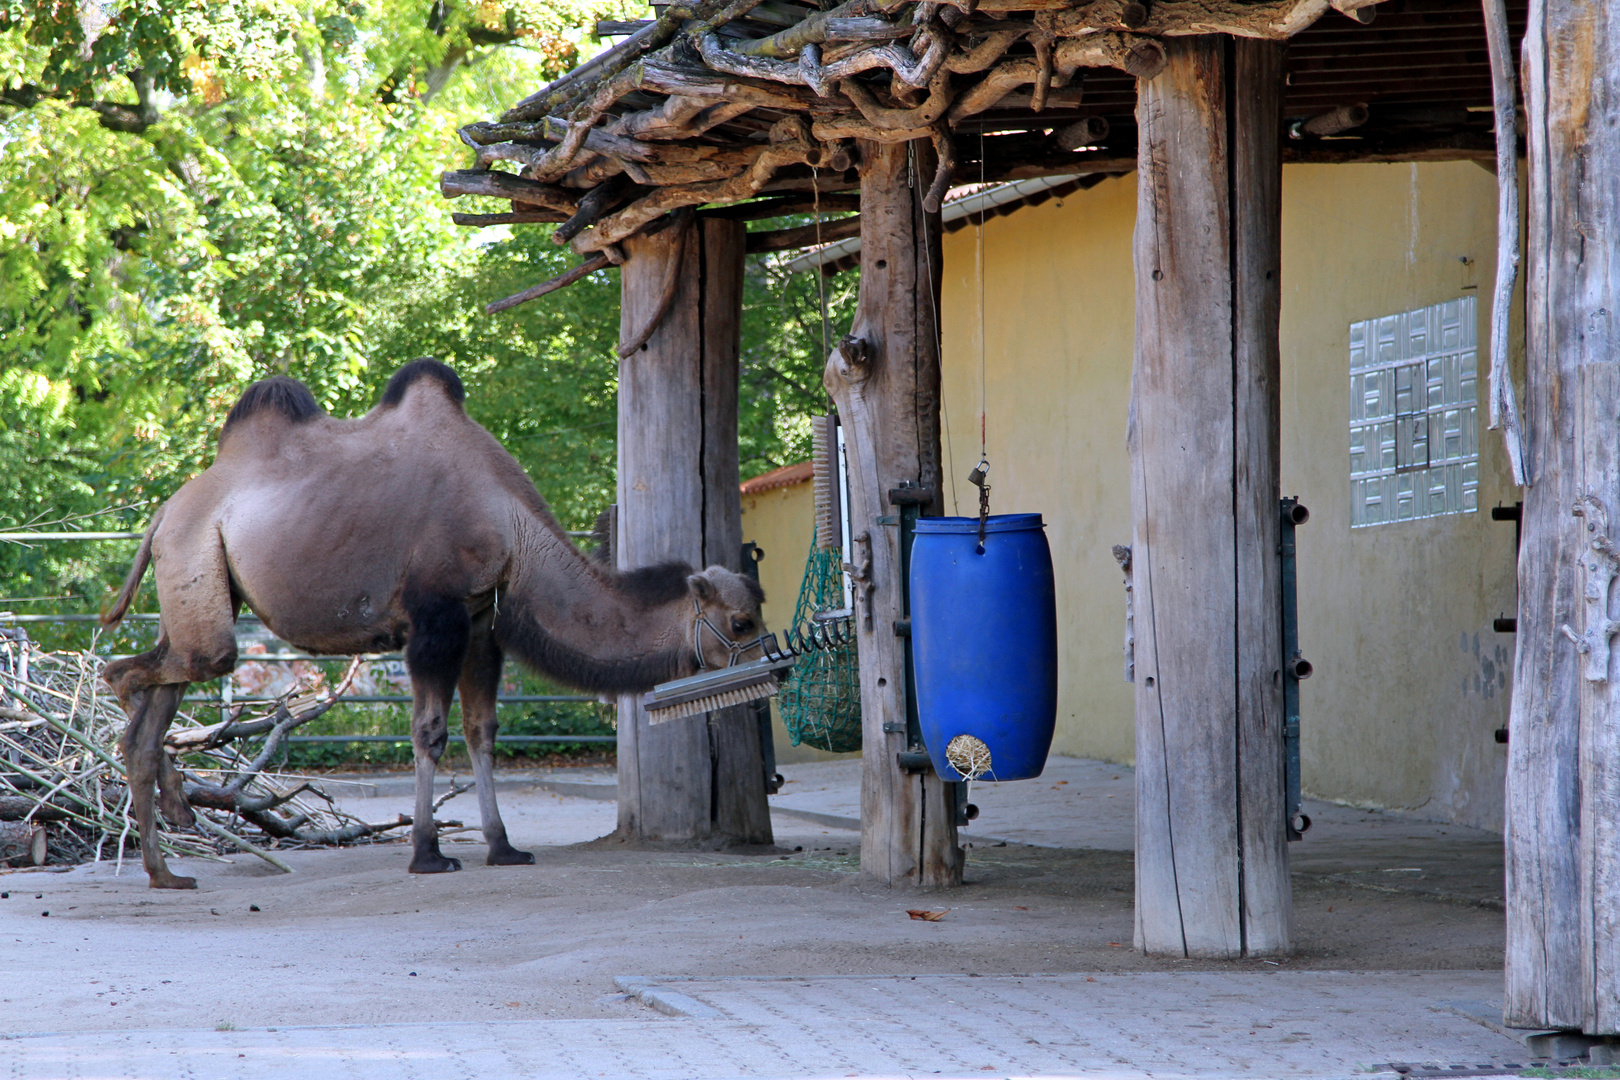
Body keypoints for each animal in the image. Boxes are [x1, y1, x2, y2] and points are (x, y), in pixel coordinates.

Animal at [102, 359, 771, 893]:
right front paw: (428, 852)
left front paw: (504, 847)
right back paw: (164, 805)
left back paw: (166, 867)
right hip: (196, 562)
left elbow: (482, 730)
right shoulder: (436, 614)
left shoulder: (480, 620)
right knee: (144, 670)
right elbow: (429, 731)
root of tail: (165, 511)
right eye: (740, 622)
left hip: (199, 589)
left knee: (154, 700)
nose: (775, 665)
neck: (510, 524)